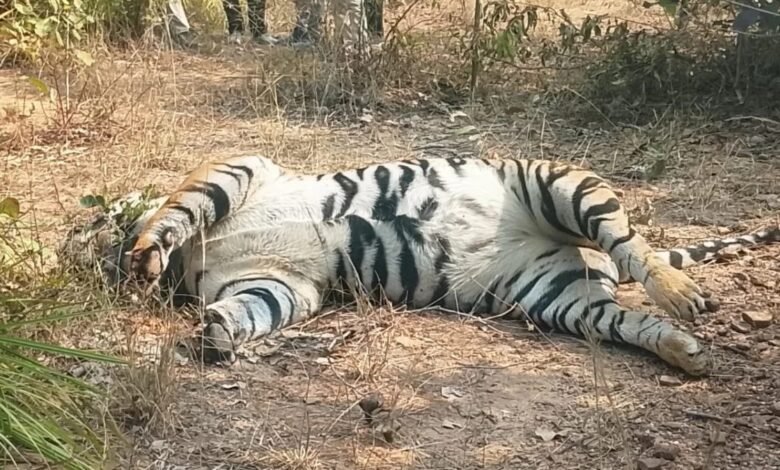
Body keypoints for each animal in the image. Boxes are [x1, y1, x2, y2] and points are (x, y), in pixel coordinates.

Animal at [61, 155, 780, 376]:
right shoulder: (276, 282)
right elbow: (252, 308)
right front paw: (219, 332)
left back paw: (683, 294)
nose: (67, 242)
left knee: (634, 242)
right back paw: (688, 351)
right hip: (560, 296)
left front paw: (146, 252)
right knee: (626, 321)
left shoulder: (239, 168)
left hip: (556, 182)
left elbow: (179, 209)